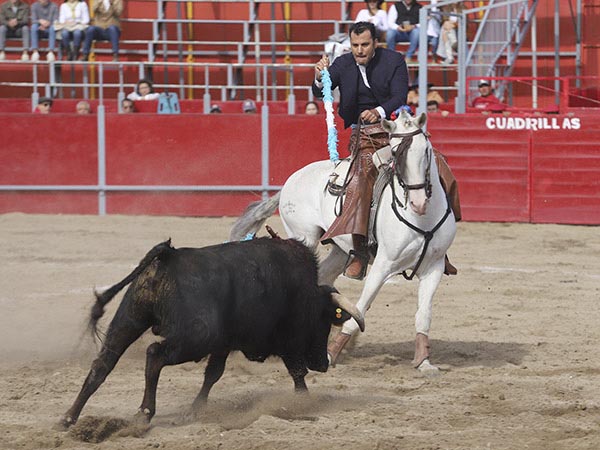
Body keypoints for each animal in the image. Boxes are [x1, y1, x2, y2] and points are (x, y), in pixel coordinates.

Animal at [61, 237, 364, 428]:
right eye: (324, 322)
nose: (323, 363)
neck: (305, 291)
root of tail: (169, 256)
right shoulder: (287, 340)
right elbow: (297, 372)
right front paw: (303, 403)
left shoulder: (224, 344)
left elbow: (213, 374)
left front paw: (194, 410)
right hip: (194, 339)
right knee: (154, 354)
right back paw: (144, 413)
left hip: (129, 320)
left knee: (103, 364)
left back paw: (69, 418)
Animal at [230, 110, 454, 372]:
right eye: (396, 153)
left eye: (426, 150)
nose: (418, 202)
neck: (422, 219)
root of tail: (290, 181)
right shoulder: (383, 265)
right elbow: (362, 306)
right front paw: (332, 353)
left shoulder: (434, 266)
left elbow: (424, 312)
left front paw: (424, 361)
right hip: (304, 238)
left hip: (340, 250)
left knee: (323, 277)